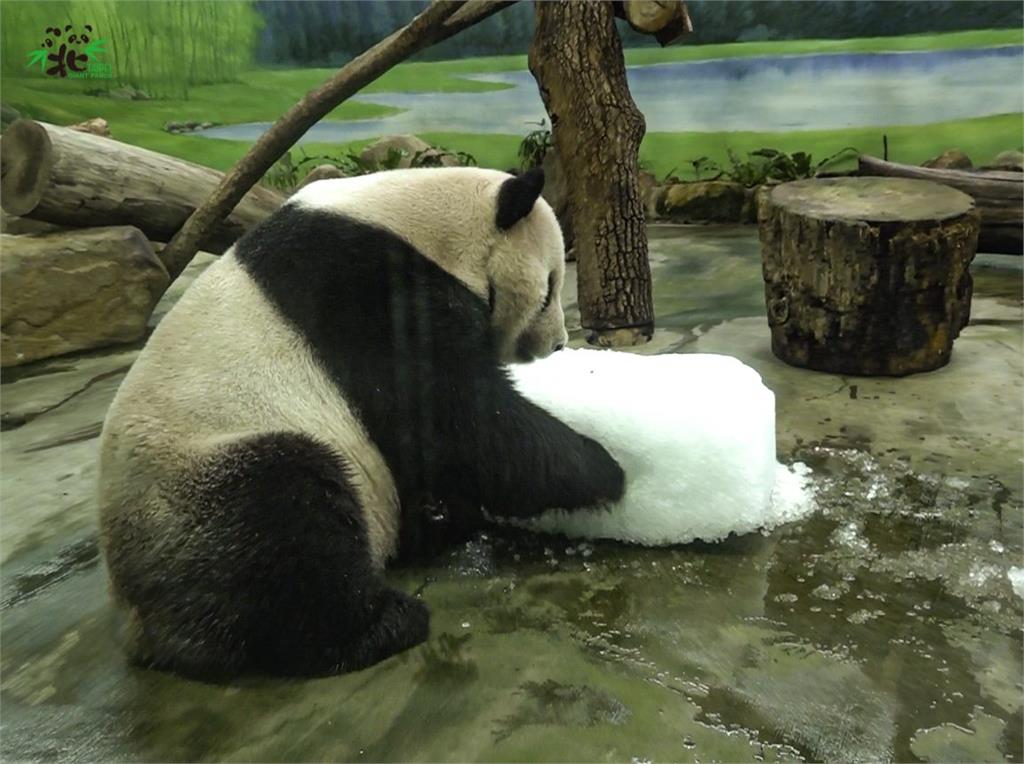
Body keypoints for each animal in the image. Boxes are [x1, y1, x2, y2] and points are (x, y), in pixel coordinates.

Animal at [97, 166, 622, 680]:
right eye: (550, 287)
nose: (558, 343)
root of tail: (139, 622)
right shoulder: (367, 291)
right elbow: (455, 418)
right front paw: (605, 469)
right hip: (195, 483)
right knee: (285, 519)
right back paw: (383, 624)